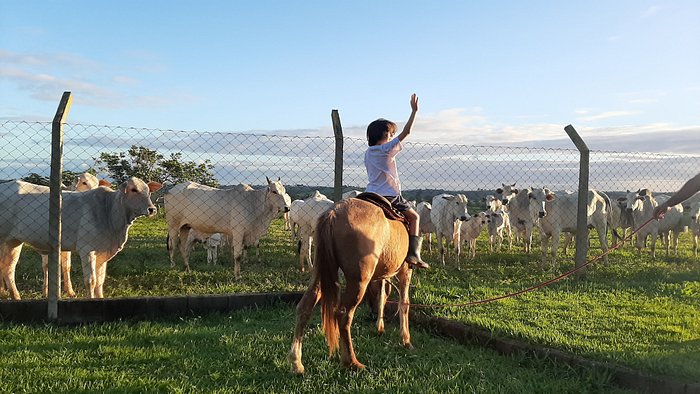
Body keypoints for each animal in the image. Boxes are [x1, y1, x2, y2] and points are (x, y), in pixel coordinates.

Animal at [0, 177, 160, 300]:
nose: (152, 209)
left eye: (148, 190)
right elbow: (91, 280)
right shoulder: (87, 250)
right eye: (133, 189)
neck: (108, 211)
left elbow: (100, 280)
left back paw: (13, 296)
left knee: (7, 268)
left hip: (14, 241)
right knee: (7, 268)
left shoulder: (102, 253)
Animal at [288, 199, 412, 374]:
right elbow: (404, 303)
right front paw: (406, 339)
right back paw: (351, 361)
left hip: (322, 272)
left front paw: (380, 326)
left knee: (305, 307)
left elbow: (382, 295)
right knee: (344, 314)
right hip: (358, 282)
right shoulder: (405, 271)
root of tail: (334, 213)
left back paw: (296, 362)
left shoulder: (382, 274)